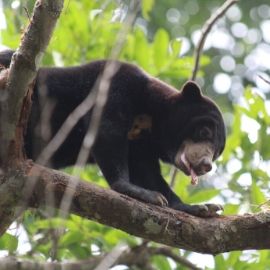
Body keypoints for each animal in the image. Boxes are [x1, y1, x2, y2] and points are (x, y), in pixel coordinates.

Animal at [0, 49, 226, 217]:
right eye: (204, 131)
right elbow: (107, 130)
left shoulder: (141, 145)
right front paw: (140, 193)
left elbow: (147, 172)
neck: (149, 119)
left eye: (216, 152)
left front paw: (201, 208)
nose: (206, 165)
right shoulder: (116, 83)